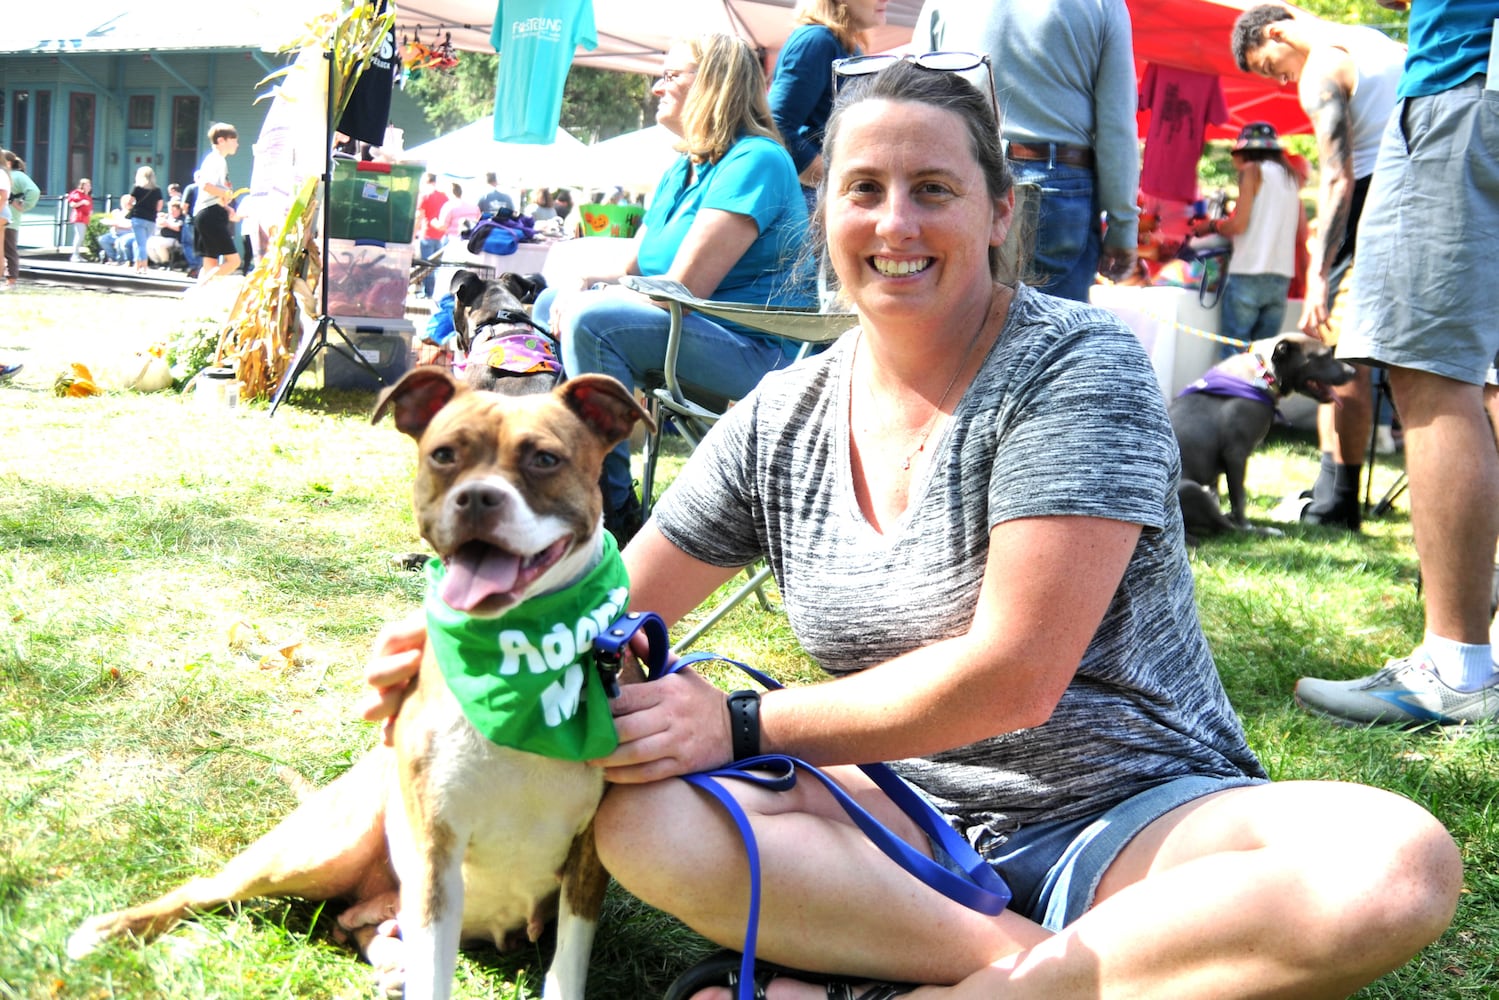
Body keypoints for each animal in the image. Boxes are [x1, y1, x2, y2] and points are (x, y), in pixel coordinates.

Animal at [67, 370, 650, 1000]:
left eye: (545, 458)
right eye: (444, 454)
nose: (476, 498)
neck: (514, 661)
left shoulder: (586, 862)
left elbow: (566, 965)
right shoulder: (436, 849)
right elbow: (434, 974)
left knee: (353, 922)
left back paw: (389, 958)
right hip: (317, 852)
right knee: (208, 890)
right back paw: (106, 931)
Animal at [1169, 332, 1361, 542]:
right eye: (1325, 356)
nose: (1353, 371)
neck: (1264, 374)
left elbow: (1218, 495)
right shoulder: (1236, 455)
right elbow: (1238, 498)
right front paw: (1245, 522)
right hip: (1190, 488)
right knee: (1229, 528)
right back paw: (1265, 530)